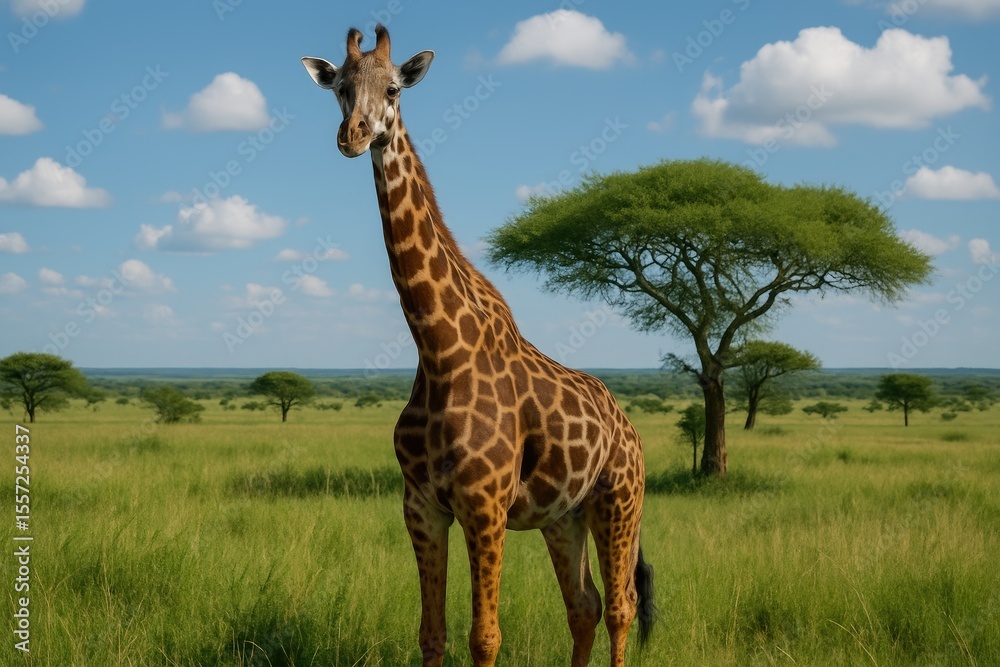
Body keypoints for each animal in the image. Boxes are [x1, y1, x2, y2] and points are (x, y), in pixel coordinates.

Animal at [302, 25, 656, 667]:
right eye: (340, 86)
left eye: (393, 89)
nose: (354, 136)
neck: (439, 349)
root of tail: (629, 427)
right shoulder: (422, 507)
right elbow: (432, 634)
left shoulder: (485, 508)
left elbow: (484, 637)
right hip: (563, 517)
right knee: (585, 606)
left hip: (619, 500)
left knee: (621, 606)